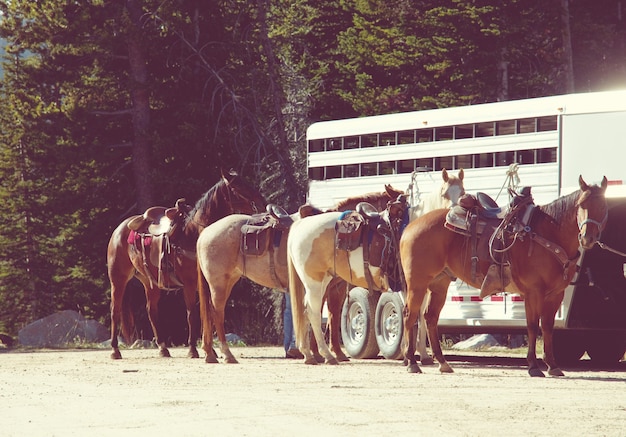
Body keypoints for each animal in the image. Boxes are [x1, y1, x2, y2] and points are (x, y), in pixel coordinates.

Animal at [106, 169, 264, 358]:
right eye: (237, 187)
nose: (261, 202)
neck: (193, 233)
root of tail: (119, 229)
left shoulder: (206, 283)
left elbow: (207, 314)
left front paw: (210, 350)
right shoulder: (189, 284)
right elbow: (192, 315)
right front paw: (193, 349)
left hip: (150, 282)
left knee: (152, 310)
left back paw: (163, 348)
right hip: (118, 279)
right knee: (115, 310)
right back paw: (115, 350)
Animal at [193, 182, 402, 362]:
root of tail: (205, 233)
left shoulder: (333, 287)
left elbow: (331, 316)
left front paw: (331, 353)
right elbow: (319, 314)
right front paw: (320, 353)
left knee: (209, 312)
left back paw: (210, 353)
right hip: (219, 283)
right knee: (216, 311)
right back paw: (227, 354)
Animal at [398, 175, 608, 376]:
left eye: (603, 206)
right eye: (581, 204)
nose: (587, 238)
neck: (547, 234)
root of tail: (410, 226)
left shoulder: (556, 294)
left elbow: (547, 327)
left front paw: (552, 366)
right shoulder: (533, 292)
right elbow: (533, 326)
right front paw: (533, 366)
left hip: (439, 284)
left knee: (430, 317)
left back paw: (442, 363)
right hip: (417, 283)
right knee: (410, 315)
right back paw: (412, 362)